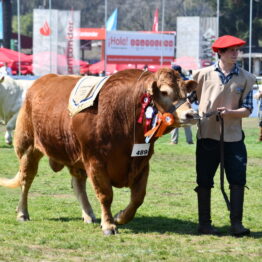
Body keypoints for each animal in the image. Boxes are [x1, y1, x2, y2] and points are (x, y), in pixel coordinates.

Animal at [0, 68, 198, 234]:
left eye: (186, 92)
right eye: (164, 92)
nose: (191, 115)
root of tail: (41, 81)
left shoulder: (142, 161)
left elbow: (138, 197)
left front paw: (120, 217)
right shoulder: (95, 161)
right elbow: (105, 195)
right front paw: (109, 225)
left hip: (74, 155)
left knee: (78, 184)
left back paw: (88, 214)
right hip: (28, 148)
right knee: (26, 181)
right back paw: (22, 213)